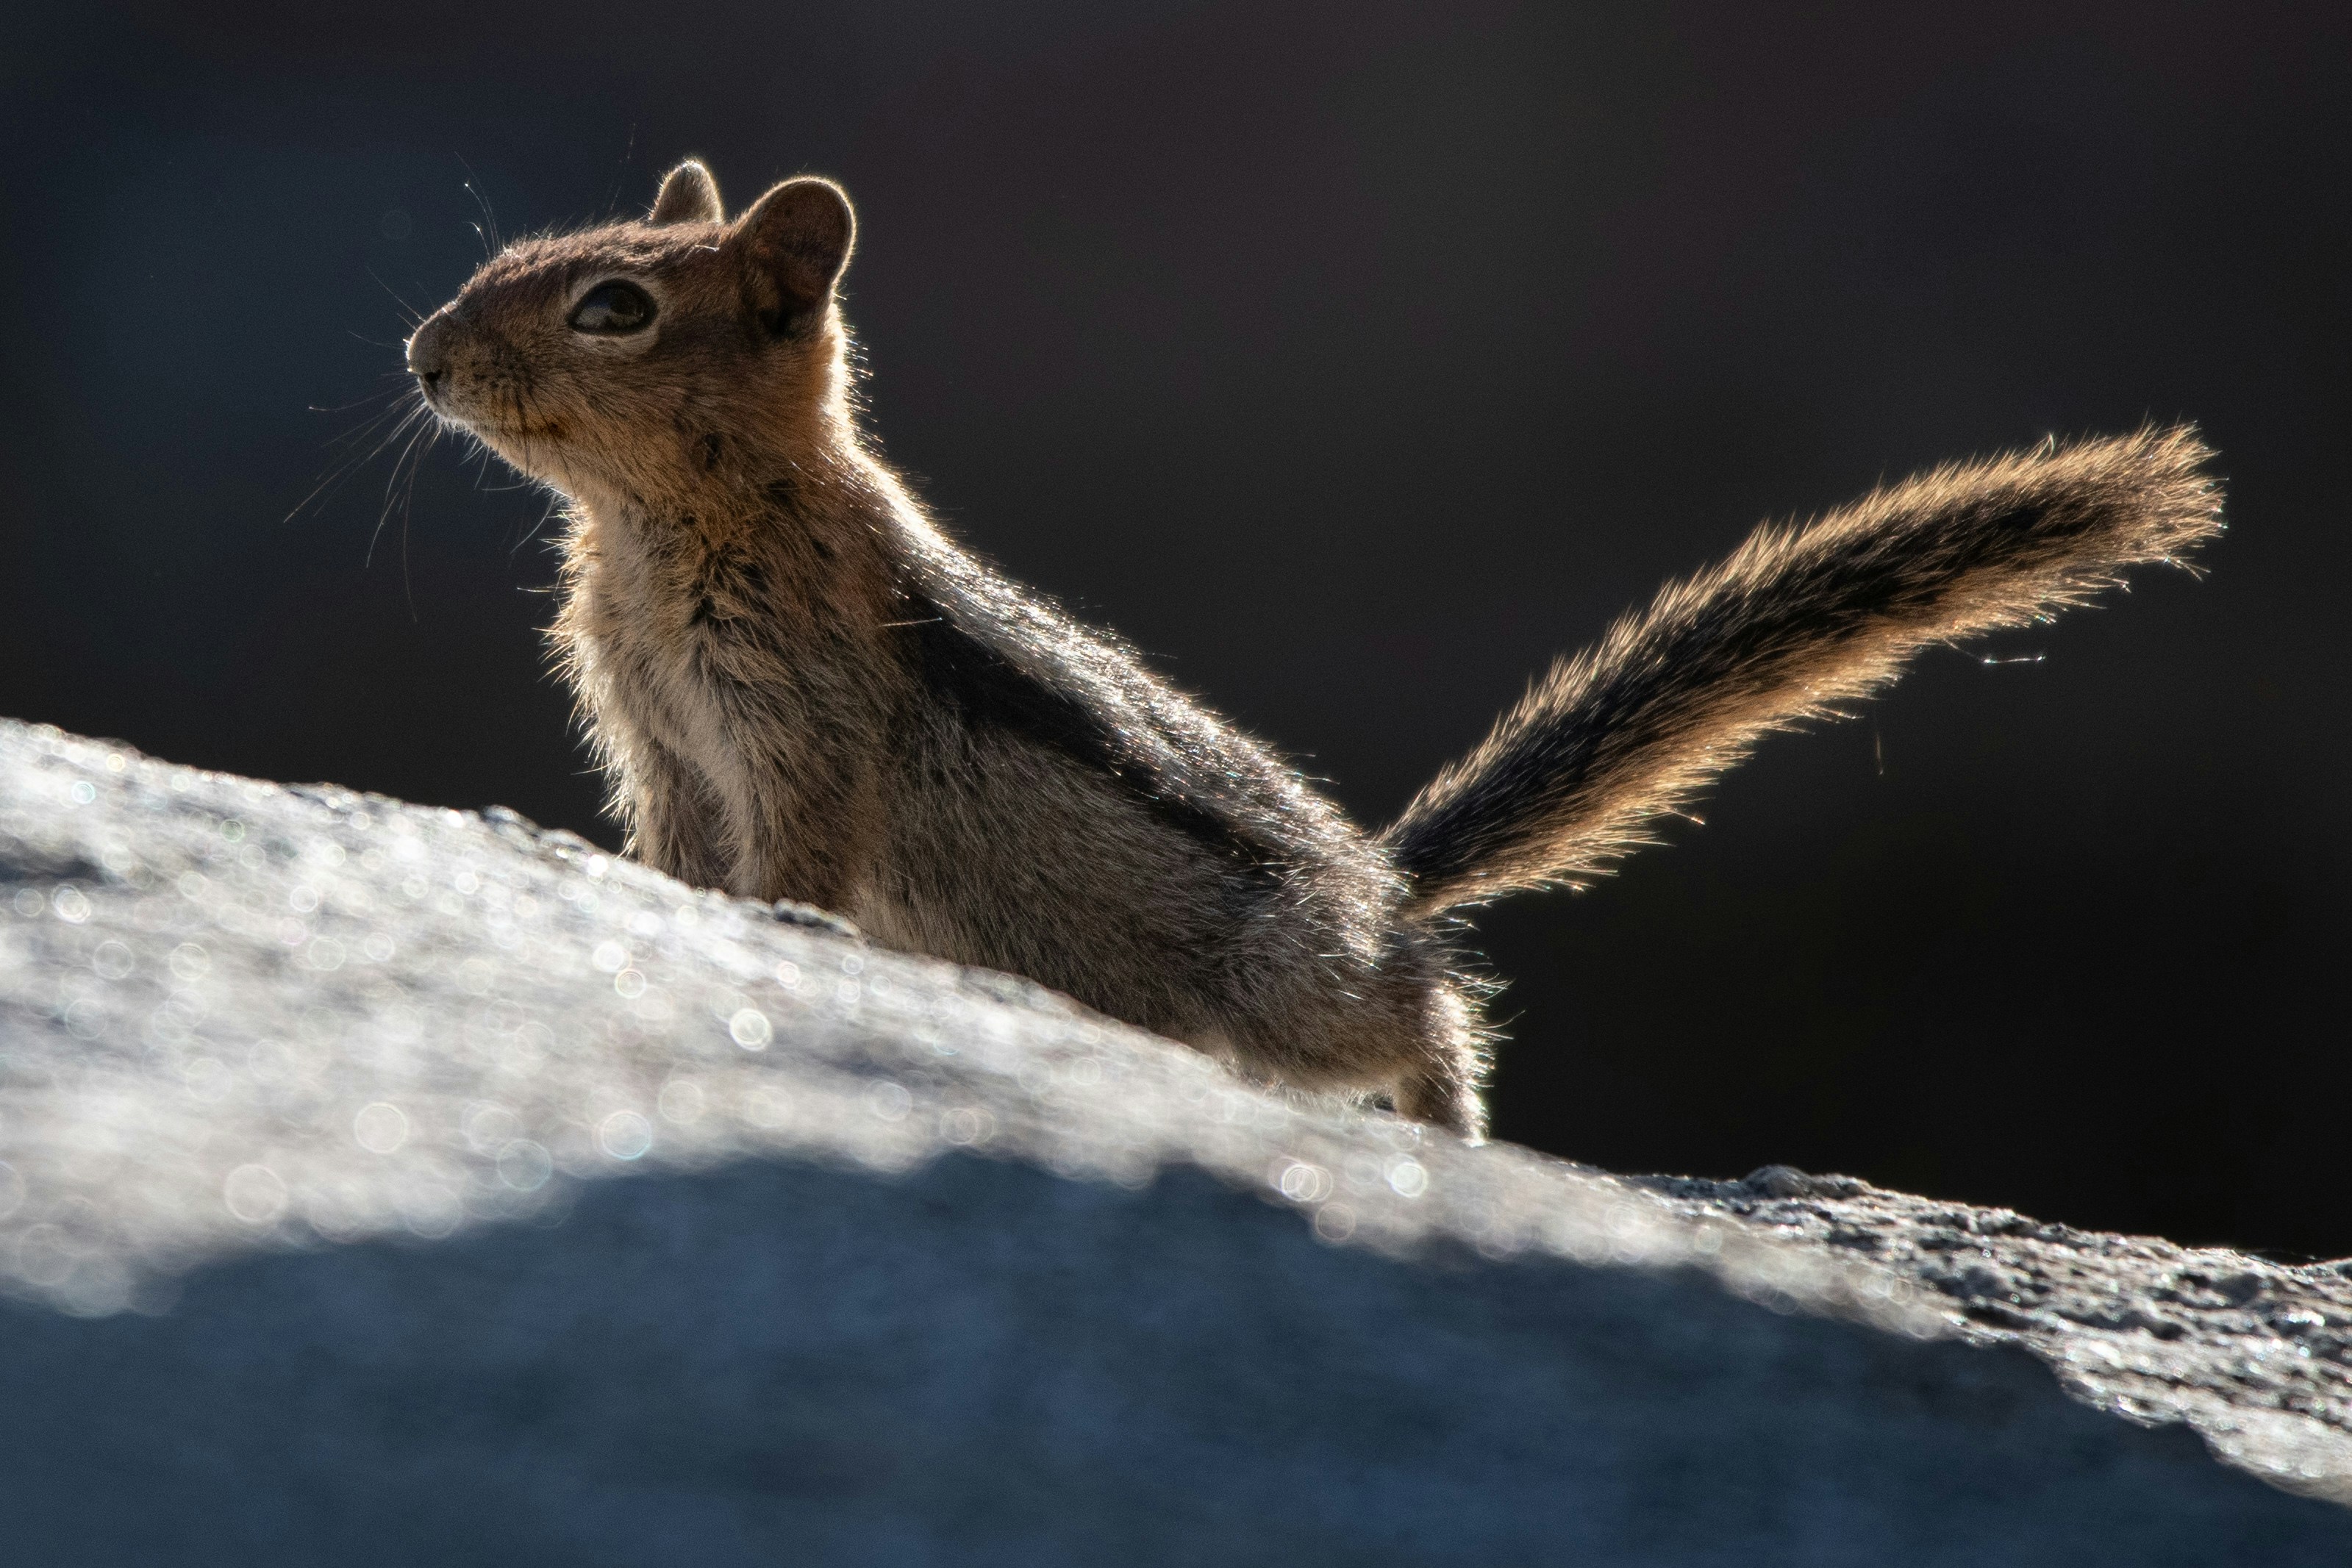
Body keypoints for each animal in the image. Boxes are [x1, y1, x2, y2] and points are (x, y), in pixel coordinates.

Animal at [405, 158, 2224, 1139]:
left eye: (615, 308)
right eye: (508, 261)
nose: (422, 351)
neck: (661, 536)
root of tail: (1383, 883)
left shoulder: (799, 728)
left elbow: (793, 853)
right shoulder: (659, 739)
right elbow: (671, 852)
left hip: (1287, 985)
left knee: (1422, 1013)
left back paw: (1452, 1115)